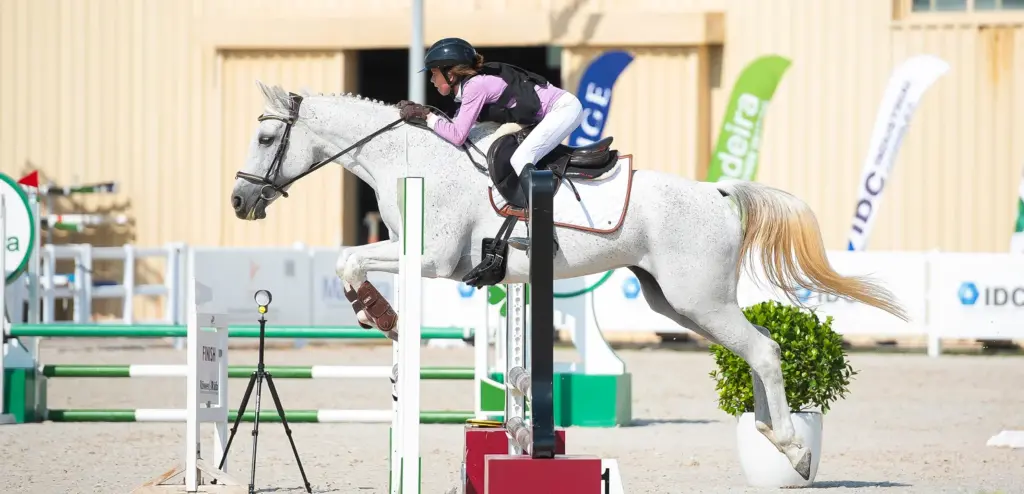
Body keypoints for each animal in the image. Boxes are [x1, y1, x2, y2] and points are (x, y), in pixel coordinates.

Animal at [230, 80, 907, 480]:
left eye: (265, 136)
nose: (239, 202)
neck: (410, 160)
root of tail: (717, 192)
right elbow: (352, 263)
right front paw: (378, 317)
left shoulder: (429, 259)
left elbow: (350, 260)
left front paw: (377, 312)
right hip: (677, 303)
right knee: (753, 350)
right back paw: (774, 438)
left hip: (700, 299)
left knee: (764, 350)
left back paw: (794, 449)